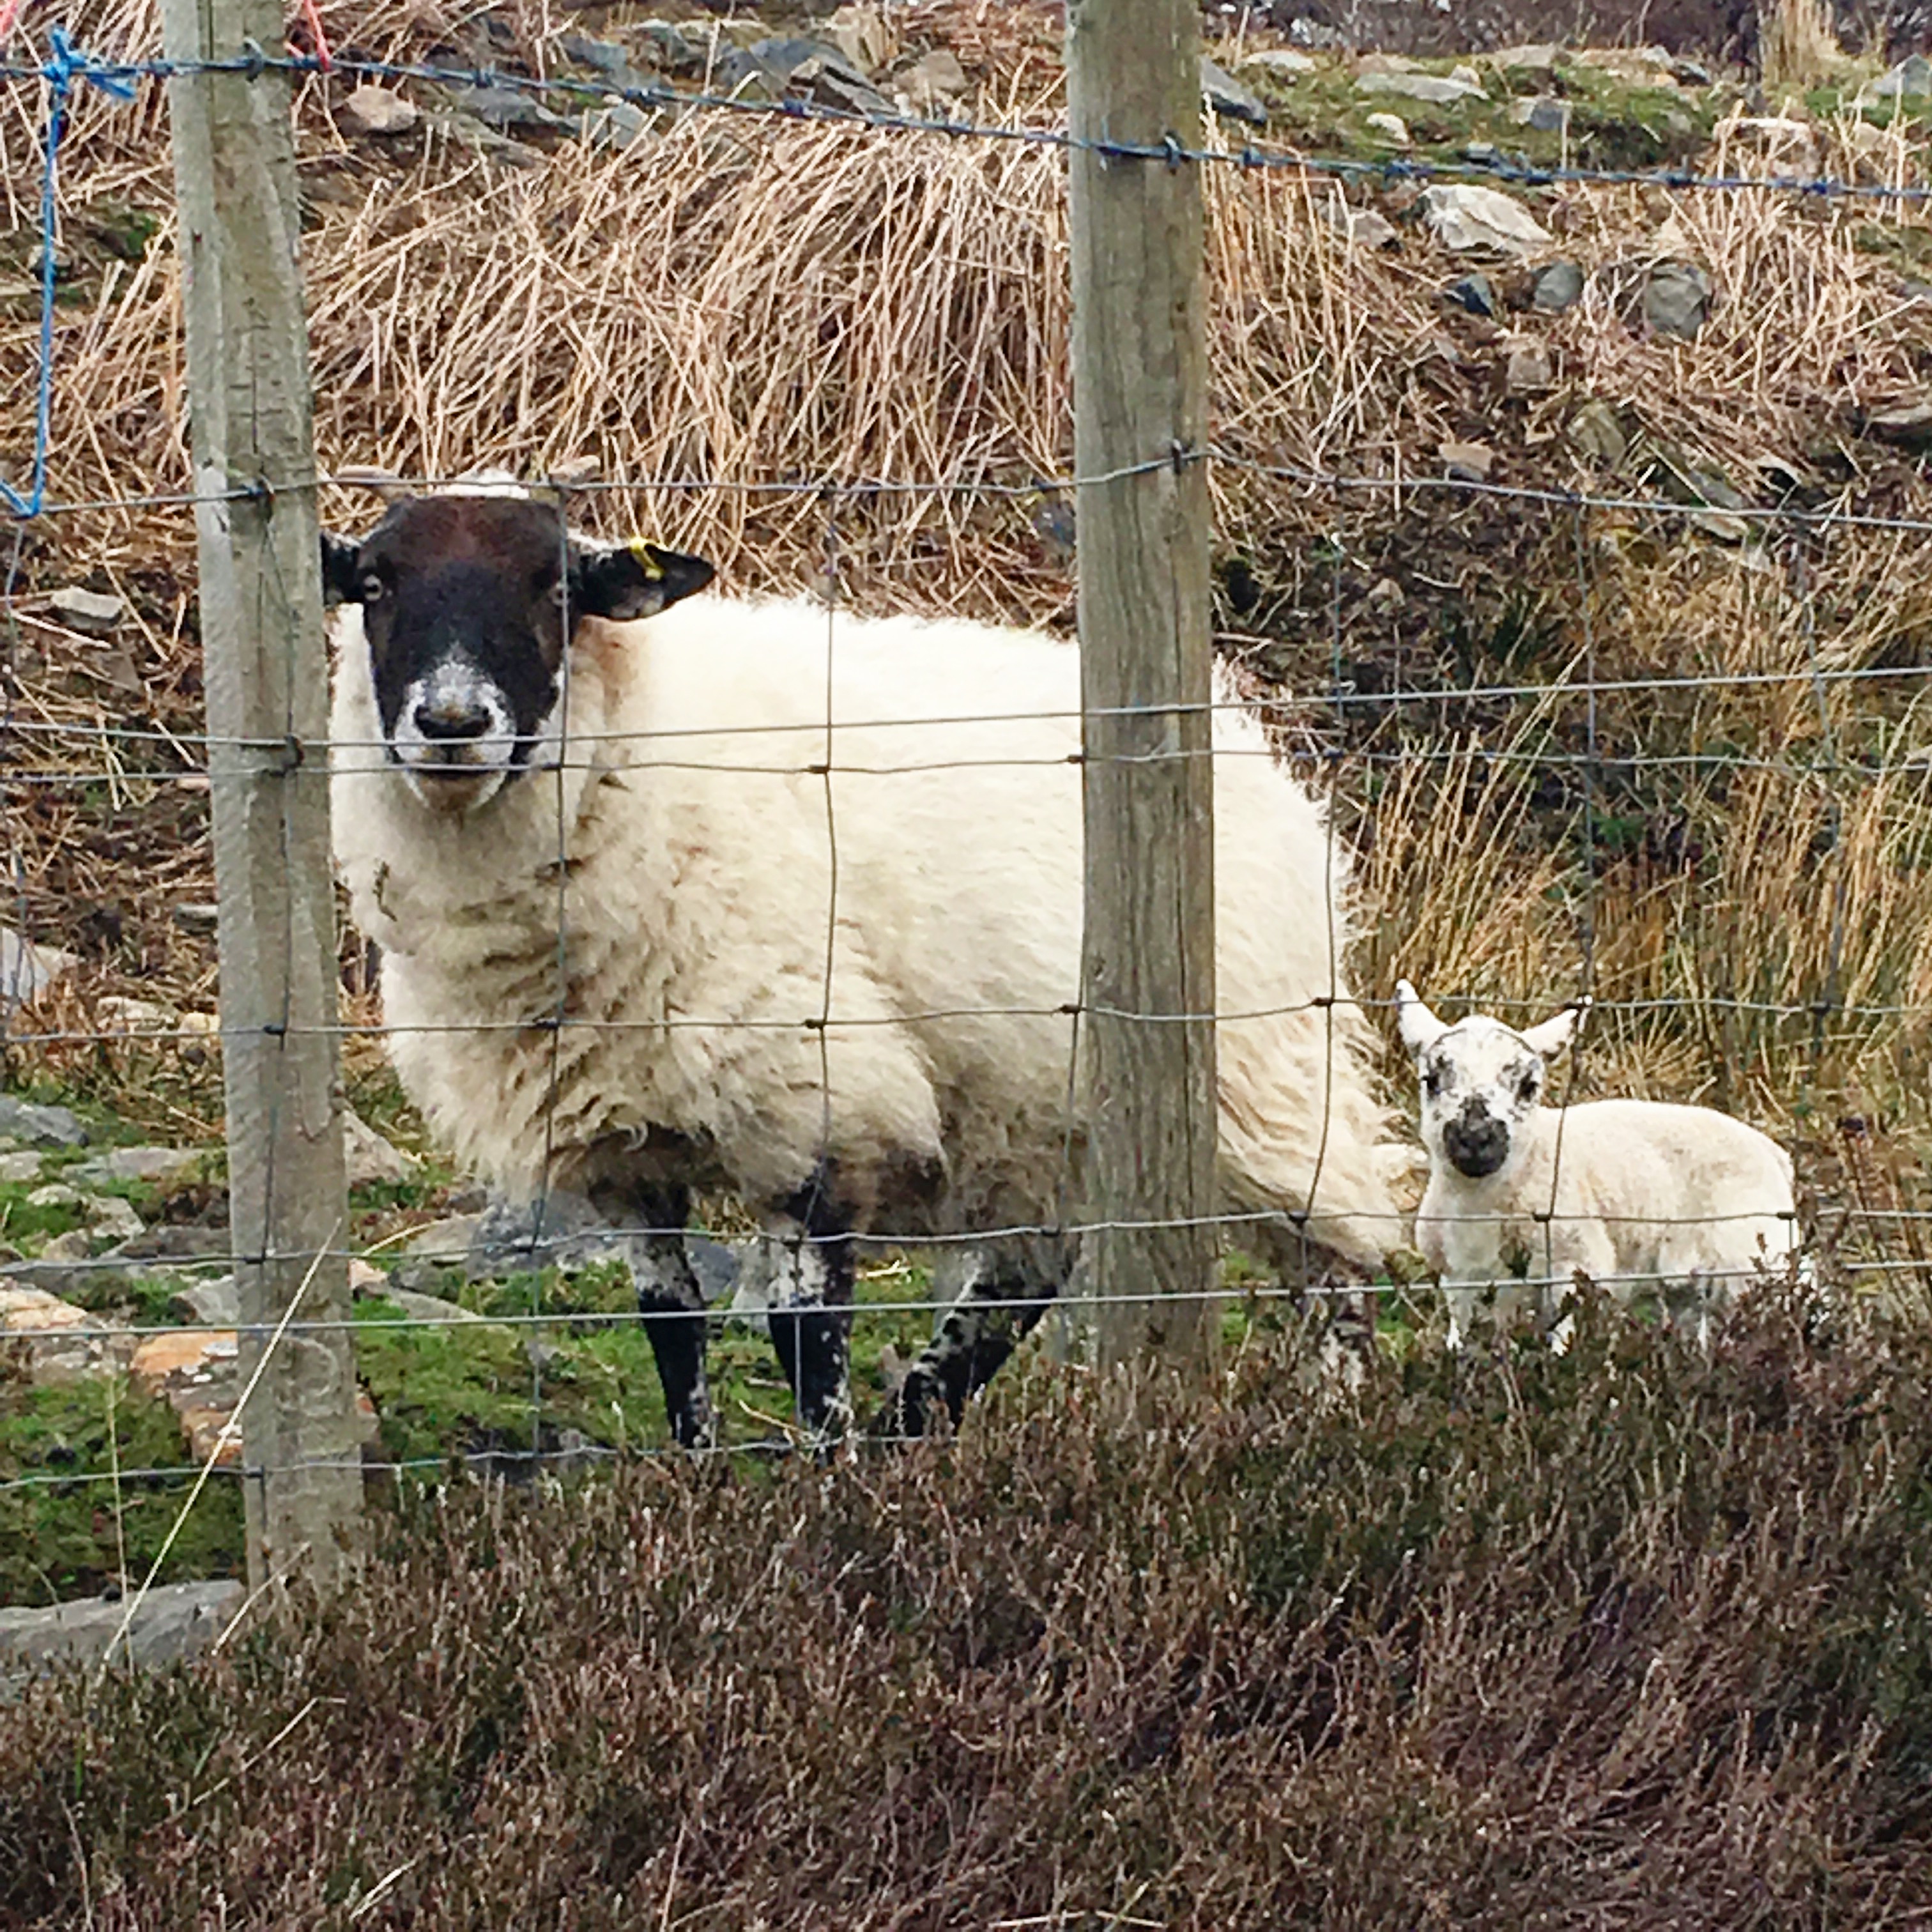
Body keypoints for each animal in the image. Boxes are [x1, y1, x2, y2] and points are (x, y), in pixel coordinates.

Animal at [325, 487, 1414, 1453]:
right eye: (375, 584)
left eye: (555, 589)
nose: (453, 725)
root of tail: (1248, 739)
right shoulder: (626, 1148)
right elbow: (672, 1329)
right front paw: (699, 1482)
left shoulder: (819, 1108)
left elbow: (806, 1338)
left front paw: (829, 1490)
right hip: (1042, 1109)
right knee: (1024, 1275)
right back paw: (916, 1423)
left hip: (1259, 1072)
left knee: (1334, 1263)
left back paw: (1334, 1422)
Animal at [1399, 981, 1800, 1344]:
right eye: (1431, 1080)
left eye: (1529, 1086)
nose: (1475, 1138)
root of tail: (1772, 1152)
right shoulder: (1460, 1285)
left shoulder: (1577, 1273)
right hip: (1689, 1286)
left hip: (1757, 1261)